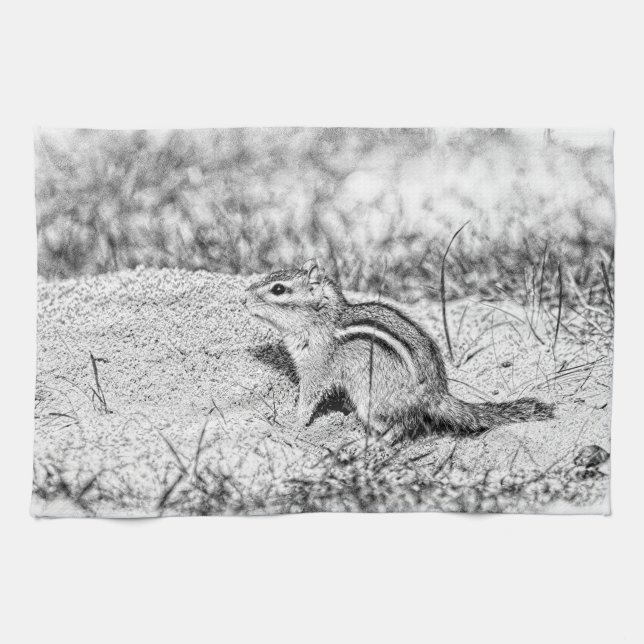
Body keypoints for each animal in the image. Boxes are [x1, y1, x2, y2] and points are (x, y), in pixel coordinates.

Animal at [242, 259, 554, 441]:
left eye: (278, 289)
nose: (243, 299)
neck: (323, 320)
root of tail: (436, 395)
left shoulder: (316, 368)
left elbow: (308, 399)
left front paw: (292, 424)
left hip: (370, 400)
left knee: (402, 428)